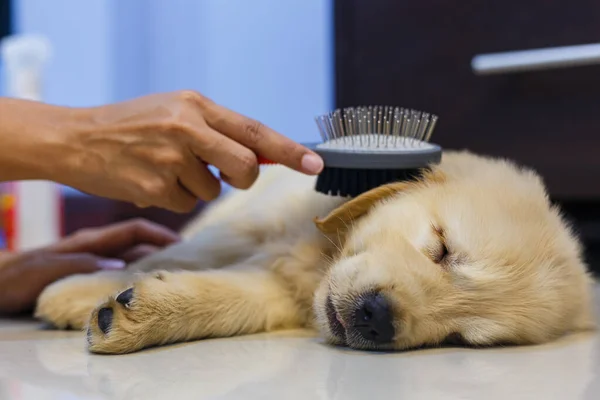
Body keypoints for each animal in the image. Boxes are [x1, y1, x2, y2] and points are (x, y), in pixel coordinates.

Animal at [34, 150, 596, 354]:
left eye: (460, 338)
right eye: (440, 247)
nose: (376, 317)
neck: (319, 256)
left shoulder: (287, 292)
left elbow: (231, 300)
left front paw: (135, 316)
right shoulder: (255, 226)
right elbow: (179, 256)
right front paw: (79, 289)